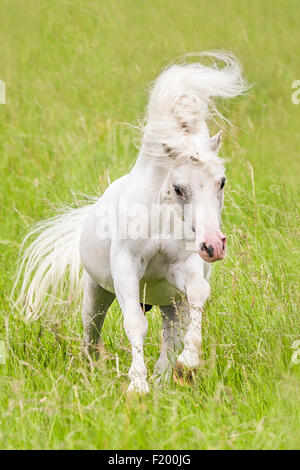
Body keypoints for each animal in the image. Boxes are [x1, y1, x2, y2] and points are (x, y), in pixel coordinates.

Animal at [12, 51, 247, 392]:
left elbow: (198, 296)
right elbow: (135, 323)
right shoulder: (126, 271)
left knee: (170, 334)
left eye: (222, 182)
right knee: (91, 333)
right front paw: (137, 386)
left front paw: (188, 364)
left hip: (169, 301)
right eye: (178, 188)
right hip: (97, 293)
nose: (213, 245)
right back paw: (95, 370)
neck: (158, 217)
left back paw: (165, 376)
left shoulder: (185, 269)